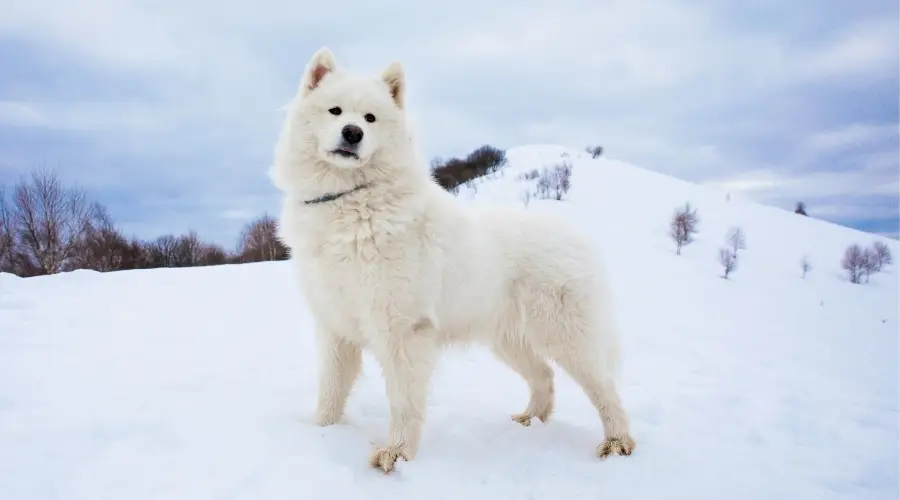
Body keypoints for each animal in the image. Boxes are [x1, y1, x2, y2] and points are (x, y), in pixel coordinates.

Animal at [270, 47, 636, 472]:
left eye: (370, 118)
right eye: (335, 110)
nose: (352, 133)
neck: (352, 200)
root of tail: (577, 237)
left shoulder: (401, 330)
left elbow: (403, 401)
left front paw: (396, 454)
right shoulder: (334, 325)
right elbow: (330, 389)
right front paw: (321, 432)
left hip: (567, 337)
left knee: (606, 389)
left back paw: (617, 442)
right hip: (509, 341)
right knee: (544, 376)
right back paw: (531, 420)